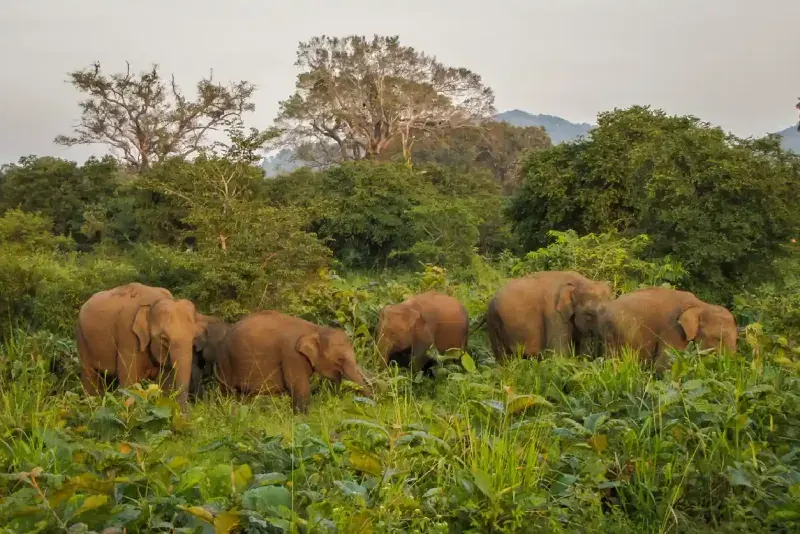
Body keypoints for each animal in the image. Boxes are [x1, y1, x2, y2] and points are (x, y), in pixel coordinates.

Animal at [76, 282, 205, 408]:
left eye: (194, 337)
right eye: (164, 338)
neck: (154, 302)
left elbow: (166, 381)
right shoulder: (127, 334)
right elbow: (129, 381)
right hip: (82, 338)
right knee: (89, 373)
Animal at [215, 310, 373, 413]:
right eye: (340, 359)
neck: (315, 329)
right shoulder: (291, 354)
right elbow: (298, 386)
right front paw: (303, 418)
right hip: (225, 362)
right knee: (228, 392)